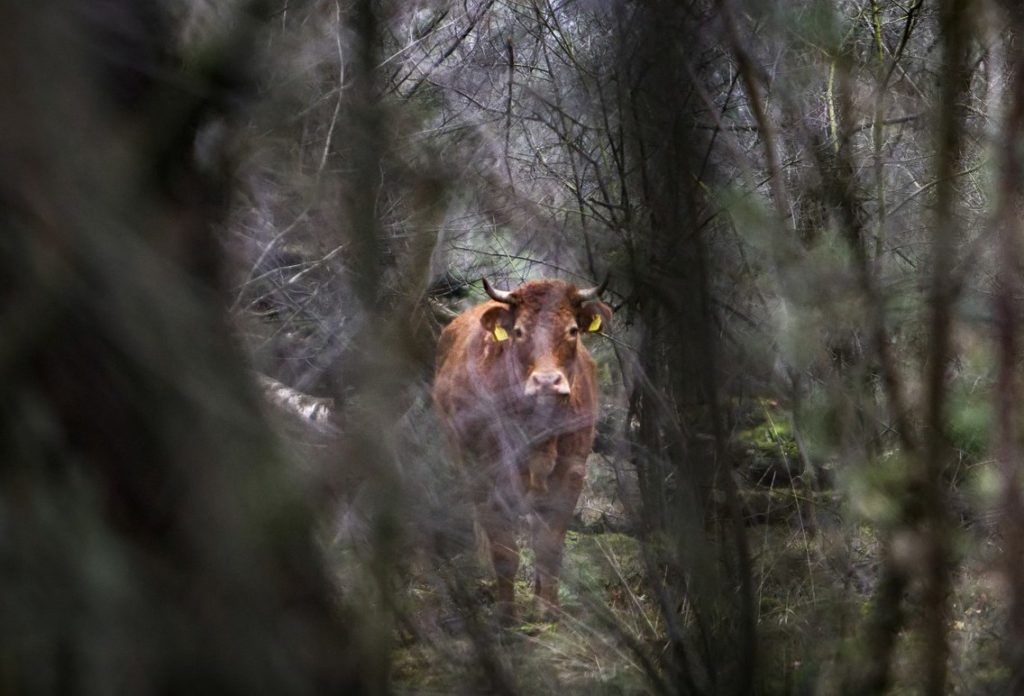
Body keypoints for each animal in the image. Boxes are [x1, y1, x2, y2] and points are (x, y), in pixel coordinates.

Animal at [430, 276, 610, 618]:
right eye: (519, 331)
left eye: (572, 330)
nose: (547, 382)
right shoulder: (485, 475)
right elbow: (504, 552)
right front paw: (507, 616)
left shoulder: (571, 471)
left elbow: (549, 546)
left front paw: (548, 613)